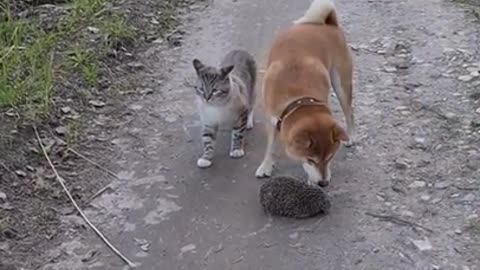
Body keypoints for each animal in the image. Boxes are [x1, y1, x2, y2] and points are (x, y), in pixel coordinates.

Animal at [255, 0, 352, 187]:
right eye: (310, 160)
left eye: (330, 158)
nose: (323, 183)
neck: (298, 97)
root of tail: (328, 23)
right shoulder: (271, 119)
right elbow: (270, 146)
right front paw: (266, 165)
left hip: (342, 85)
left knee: (350, 113)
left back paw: (351, 136)